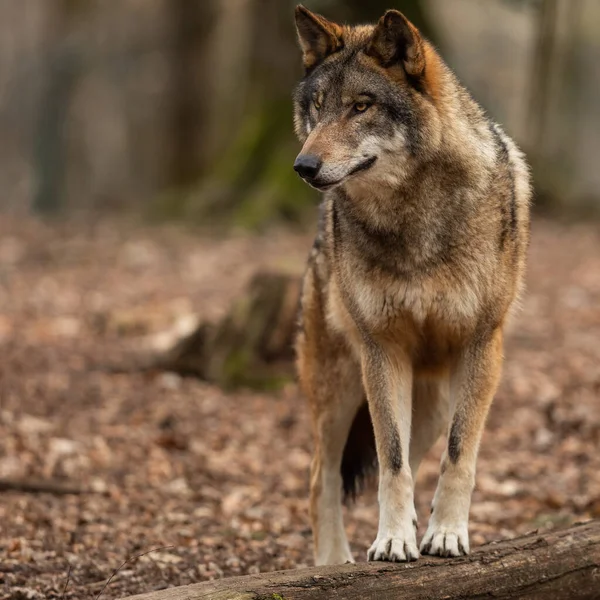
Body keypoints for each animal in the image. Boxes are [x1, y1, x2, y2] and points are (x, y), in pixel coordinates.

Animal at [290, 5, 528, 568]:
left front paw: (445, 535)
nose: (304, 167)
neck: (413, 218)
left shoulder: (481, 347)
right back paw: (334, 562)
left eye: (361, 106)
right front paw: (393, 541)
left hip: (435, 403)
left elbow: (458, 456)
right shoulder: (383, 348)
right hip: (339, 388)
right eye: (317, 108)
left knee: (417, 460)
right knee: (319, 477)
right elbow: (391, 461)